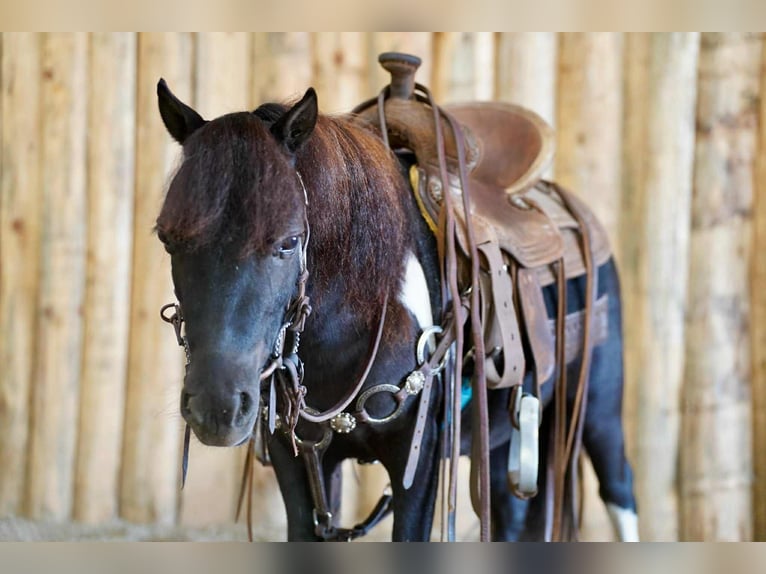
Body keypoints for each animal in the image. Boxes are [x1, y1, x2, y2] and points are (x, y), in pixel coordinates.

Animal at [154, 75, 638, 541]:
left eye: (289, 242)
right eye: (167, 238)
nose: (217, 407)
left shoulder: (417, 462)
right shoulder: (300, 462)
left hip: (598, 409)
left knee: (620, 489)